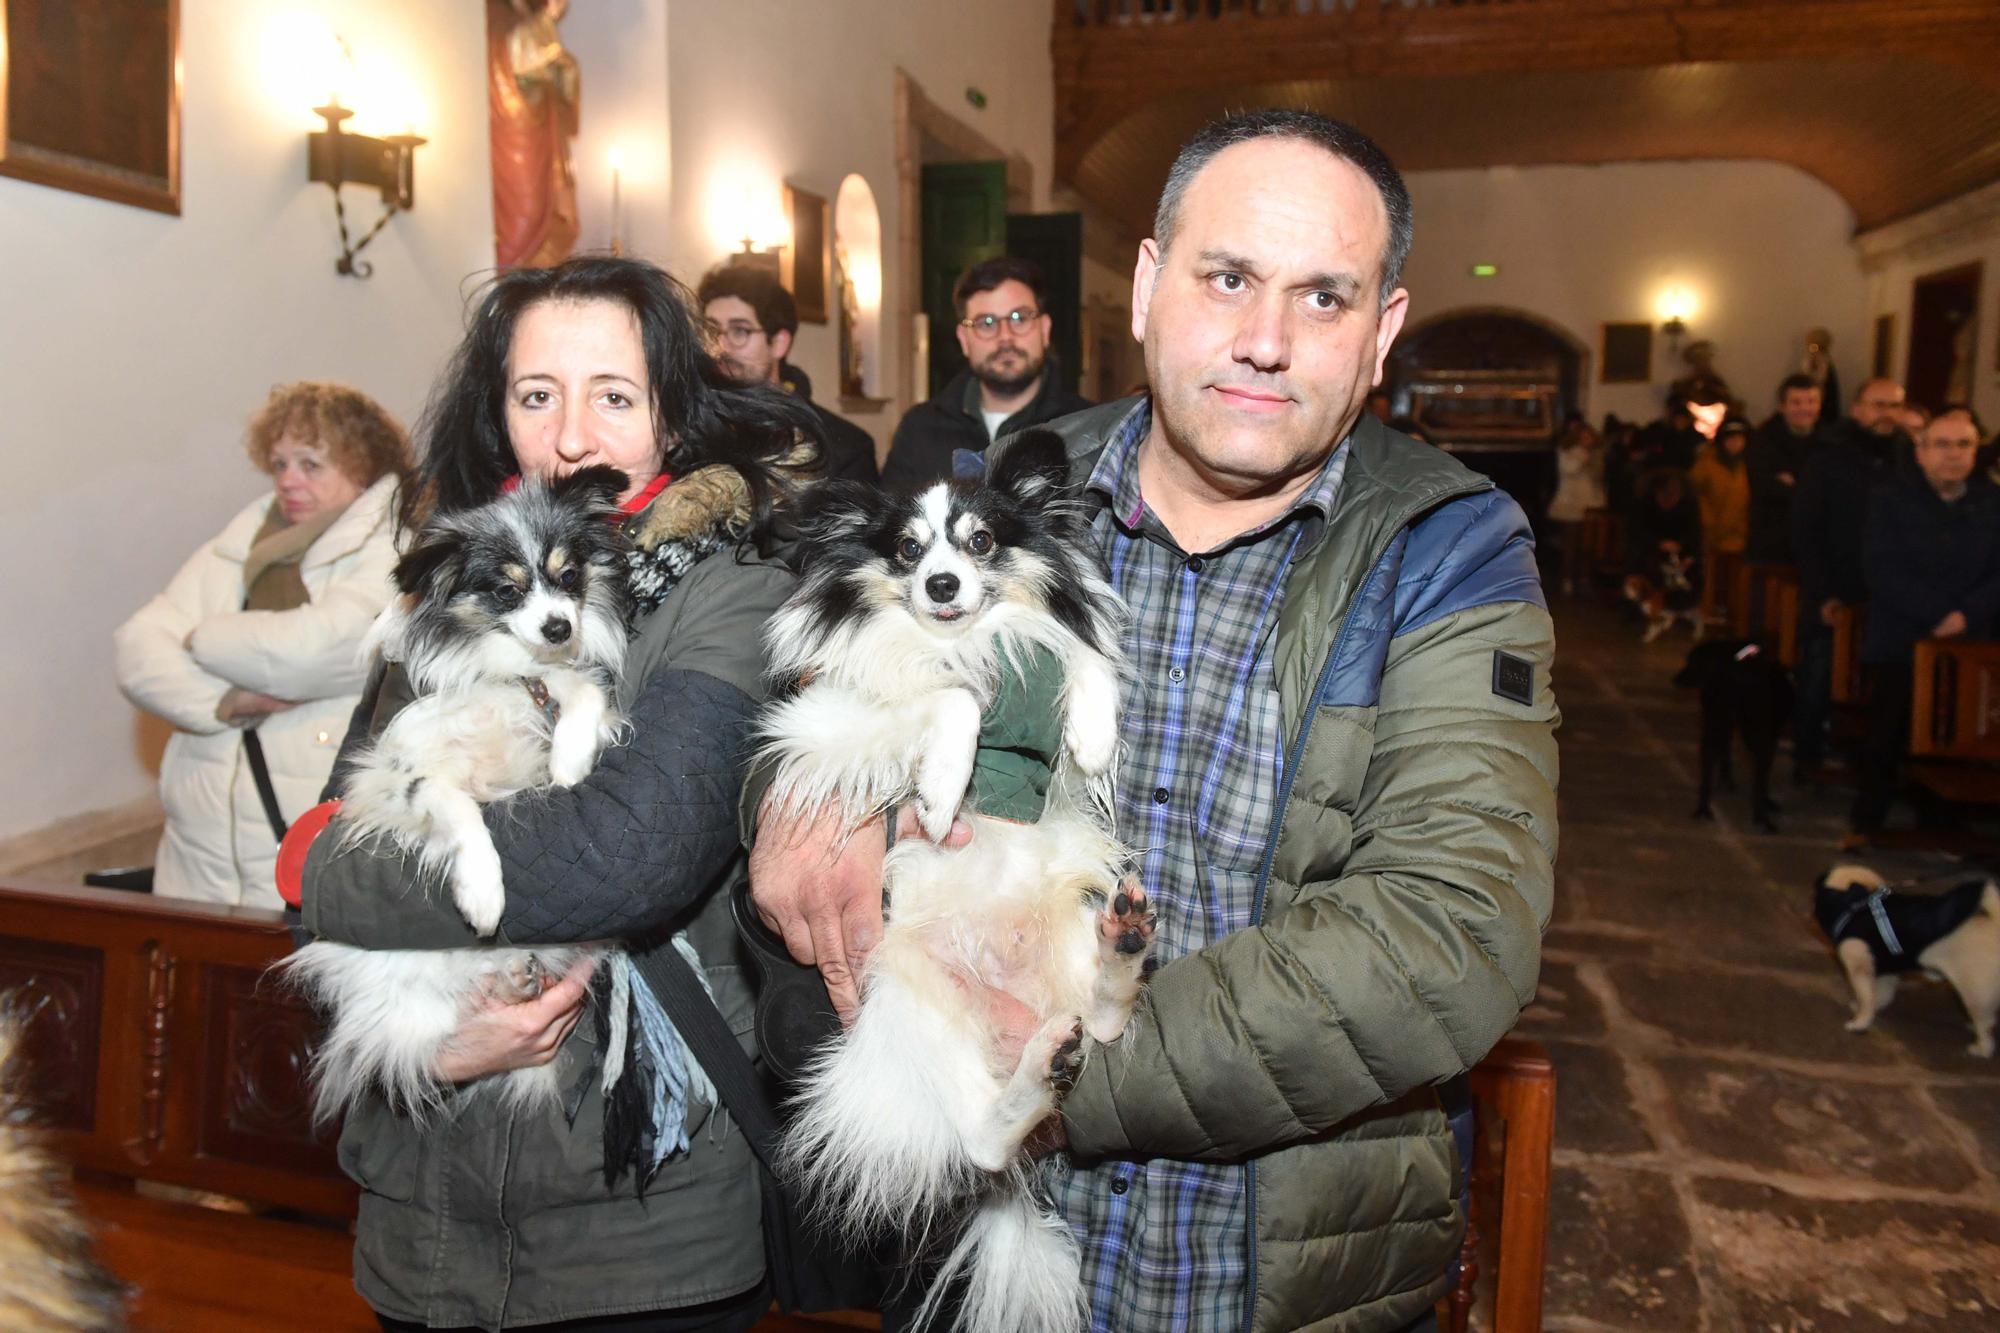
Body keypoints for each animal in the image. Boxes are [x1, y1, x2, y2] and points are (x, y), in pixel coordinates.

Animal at [282, 466, 632, 1120]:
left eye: (569, 575)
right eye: (505, 591)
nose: (559, 626)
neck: (500, 663)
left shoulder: (546, 682)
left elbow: (580, 689)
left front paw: (570, 759)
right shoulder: (399, 771)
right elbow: (460, 811)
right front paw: (482, 893)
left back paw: (518, 976)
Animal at [756, 428, 1152, 1328]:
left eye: (980, 542)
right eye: (907, 550)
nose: (941, 584)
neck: (961, 638)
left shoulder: (1047, 651)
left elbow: (1080, 657)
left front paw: (1092, 728)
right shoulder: (826, 720)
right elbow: (949, 700)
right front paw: (940, 788)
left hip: (1068, 928)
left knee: (1104, 1021)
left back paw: (1121, 949)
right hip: (910, 1003)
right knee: (979, 1138)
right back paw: (1038, 1076)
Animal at [1672, 636, 1800, 832]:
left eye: (1691, 661)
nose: (1676, 679)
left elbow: (1725, 754)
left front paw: (1726, 781)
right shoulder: (1769, 739)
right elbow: (1762, 779)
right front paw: (1767, 803)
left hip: (1715, 727)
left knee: (1707, 774)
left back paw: (1704, 808)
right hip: (1754, 736)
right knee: (1759, 782)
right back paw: (1763, 819)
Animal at [1824, 860, 1992, 1056]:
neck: (1857, 906)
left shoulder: (1860, 968)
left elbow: (1866, 997)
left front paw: (1860, 1021)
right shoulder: (1886, 971)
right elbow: (1879, 995)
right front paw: (1870, 1009)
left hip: (1975, 994)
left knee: (1985, 1026)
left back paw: (1981, 1048)